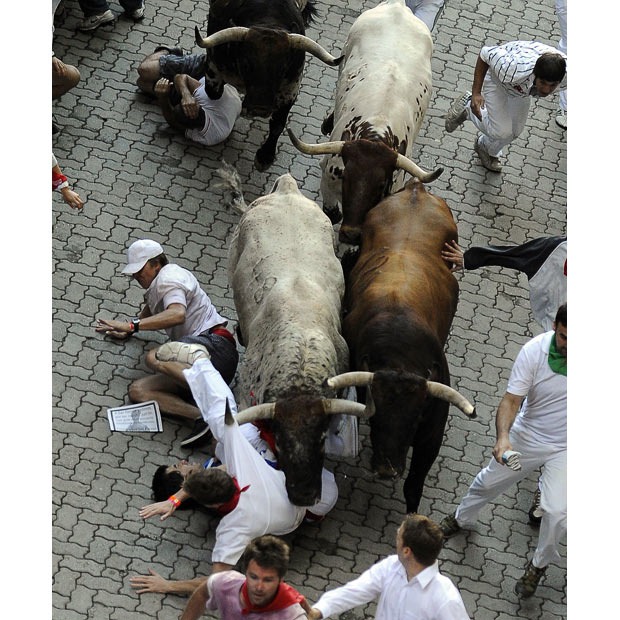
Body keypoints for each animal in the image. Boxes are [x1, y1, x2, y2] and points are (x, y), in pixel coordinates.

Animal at [326, 177, 478, 512]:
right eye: (376, 416)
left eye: (415, 419)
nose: (387, 469)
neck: (400, 353)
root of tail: (416, 188)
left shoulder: (431, 433)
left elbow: (414, 486)